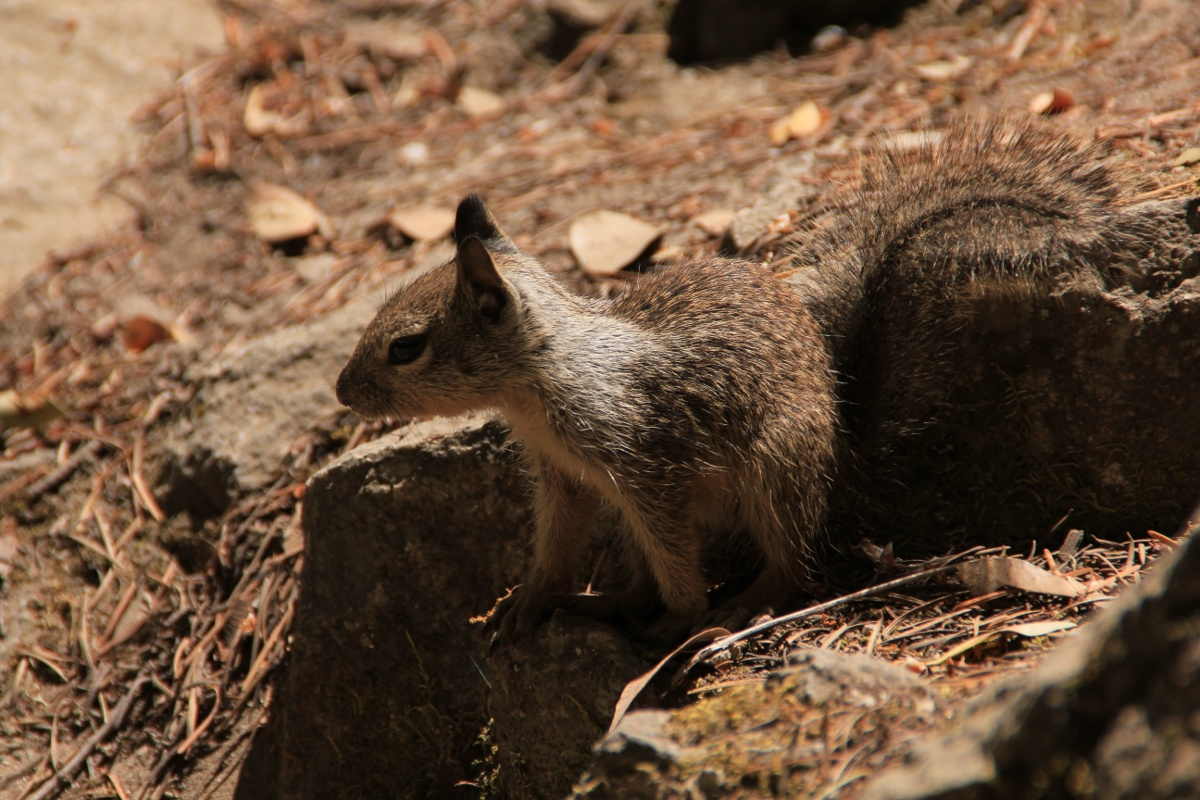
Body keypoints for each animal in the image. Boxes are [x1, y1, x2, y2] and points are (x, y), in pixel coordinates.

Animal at [336, 117, 1123, 642]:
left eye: (407, 347)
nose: (343, 393)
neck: (548, 375)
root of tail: (842, 448)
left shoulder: (649, 468)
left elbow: (677, 563)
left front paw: (685, 622)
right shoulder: (567, 480)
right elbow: (558, 546)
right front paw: (528, 601)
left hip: (776, 468)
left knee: (794, 564)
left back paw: (738, 605)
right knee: (653, 571)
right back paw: (611, 602)